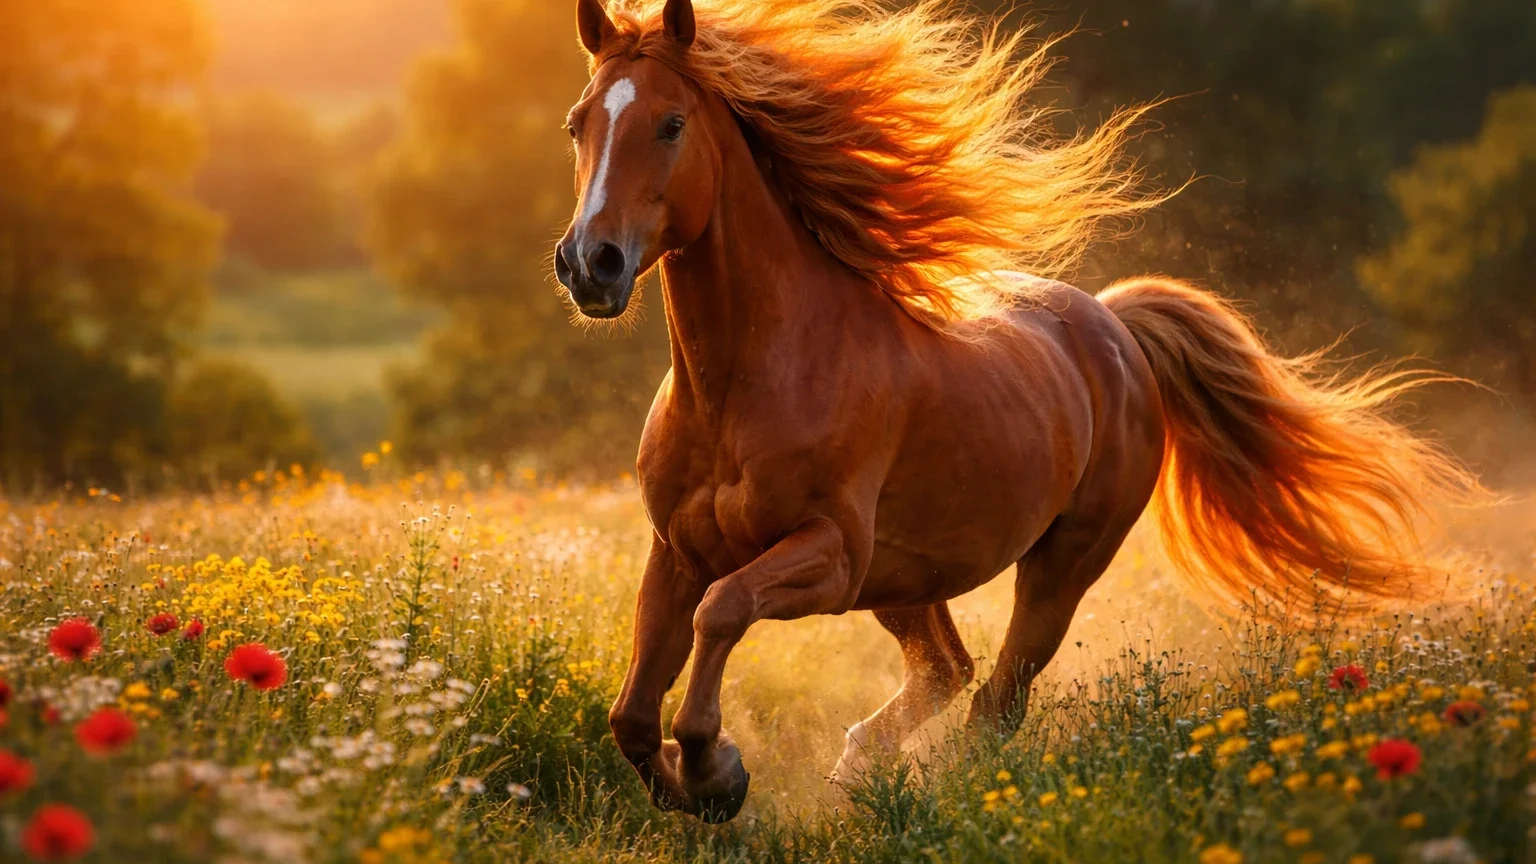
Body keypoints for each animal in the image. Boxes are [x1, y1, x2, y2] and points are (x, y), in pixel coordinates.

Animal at [551, 0, 1478, 822]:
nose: (590, 263)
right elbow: (631, 714)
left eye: (671, 124)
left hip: (1057, 566)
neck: (744, 385)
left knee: (995, 699)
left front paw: (718, 771)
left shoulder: (830, 554)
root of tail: (1115, 326)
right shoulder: (677, 551)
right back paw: (858, 766)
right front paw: (697, 787)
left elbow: (723, 612)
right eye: (577, 124)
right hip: (910, 575)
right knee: (949, 671)